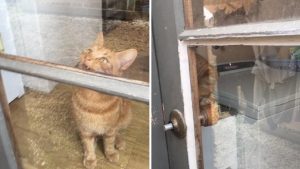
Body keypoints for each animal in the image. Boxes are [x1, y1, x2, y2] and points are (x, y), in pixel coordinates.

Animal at [72, 32, 138, 168]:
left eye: (104, 59)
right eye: (90, 50)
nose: (88, 57)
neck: (93, 100)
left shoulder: (110, 129)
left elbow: (109, 142)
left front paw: (110, 153)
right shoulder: (85, 129)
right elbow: (88, 144)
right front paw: (90, 157)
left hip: (126, 116)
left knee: (118, 130)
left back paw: (119, 141)